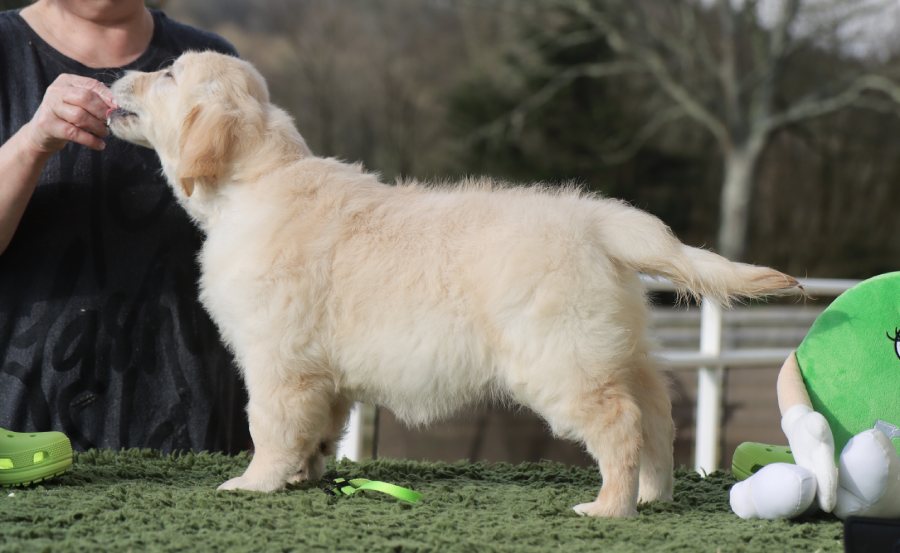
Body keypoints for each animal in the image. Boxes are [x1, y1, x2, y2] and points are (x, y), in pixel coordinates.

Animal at [108, 51, 798, 517]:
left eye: (167, 77)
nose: (119, 76)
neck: (253, 184)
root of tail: (599, 221)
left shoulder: (278, 357)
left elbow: (270, 426)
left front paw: (256, 483)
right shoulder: (321, 372)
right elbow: (318, 428)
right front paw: (307, 475)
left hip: (560, 357)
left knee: (620, 422)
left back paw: (609, 507)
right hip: (615, 349)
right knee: (657, 416)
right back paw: (654, 495)